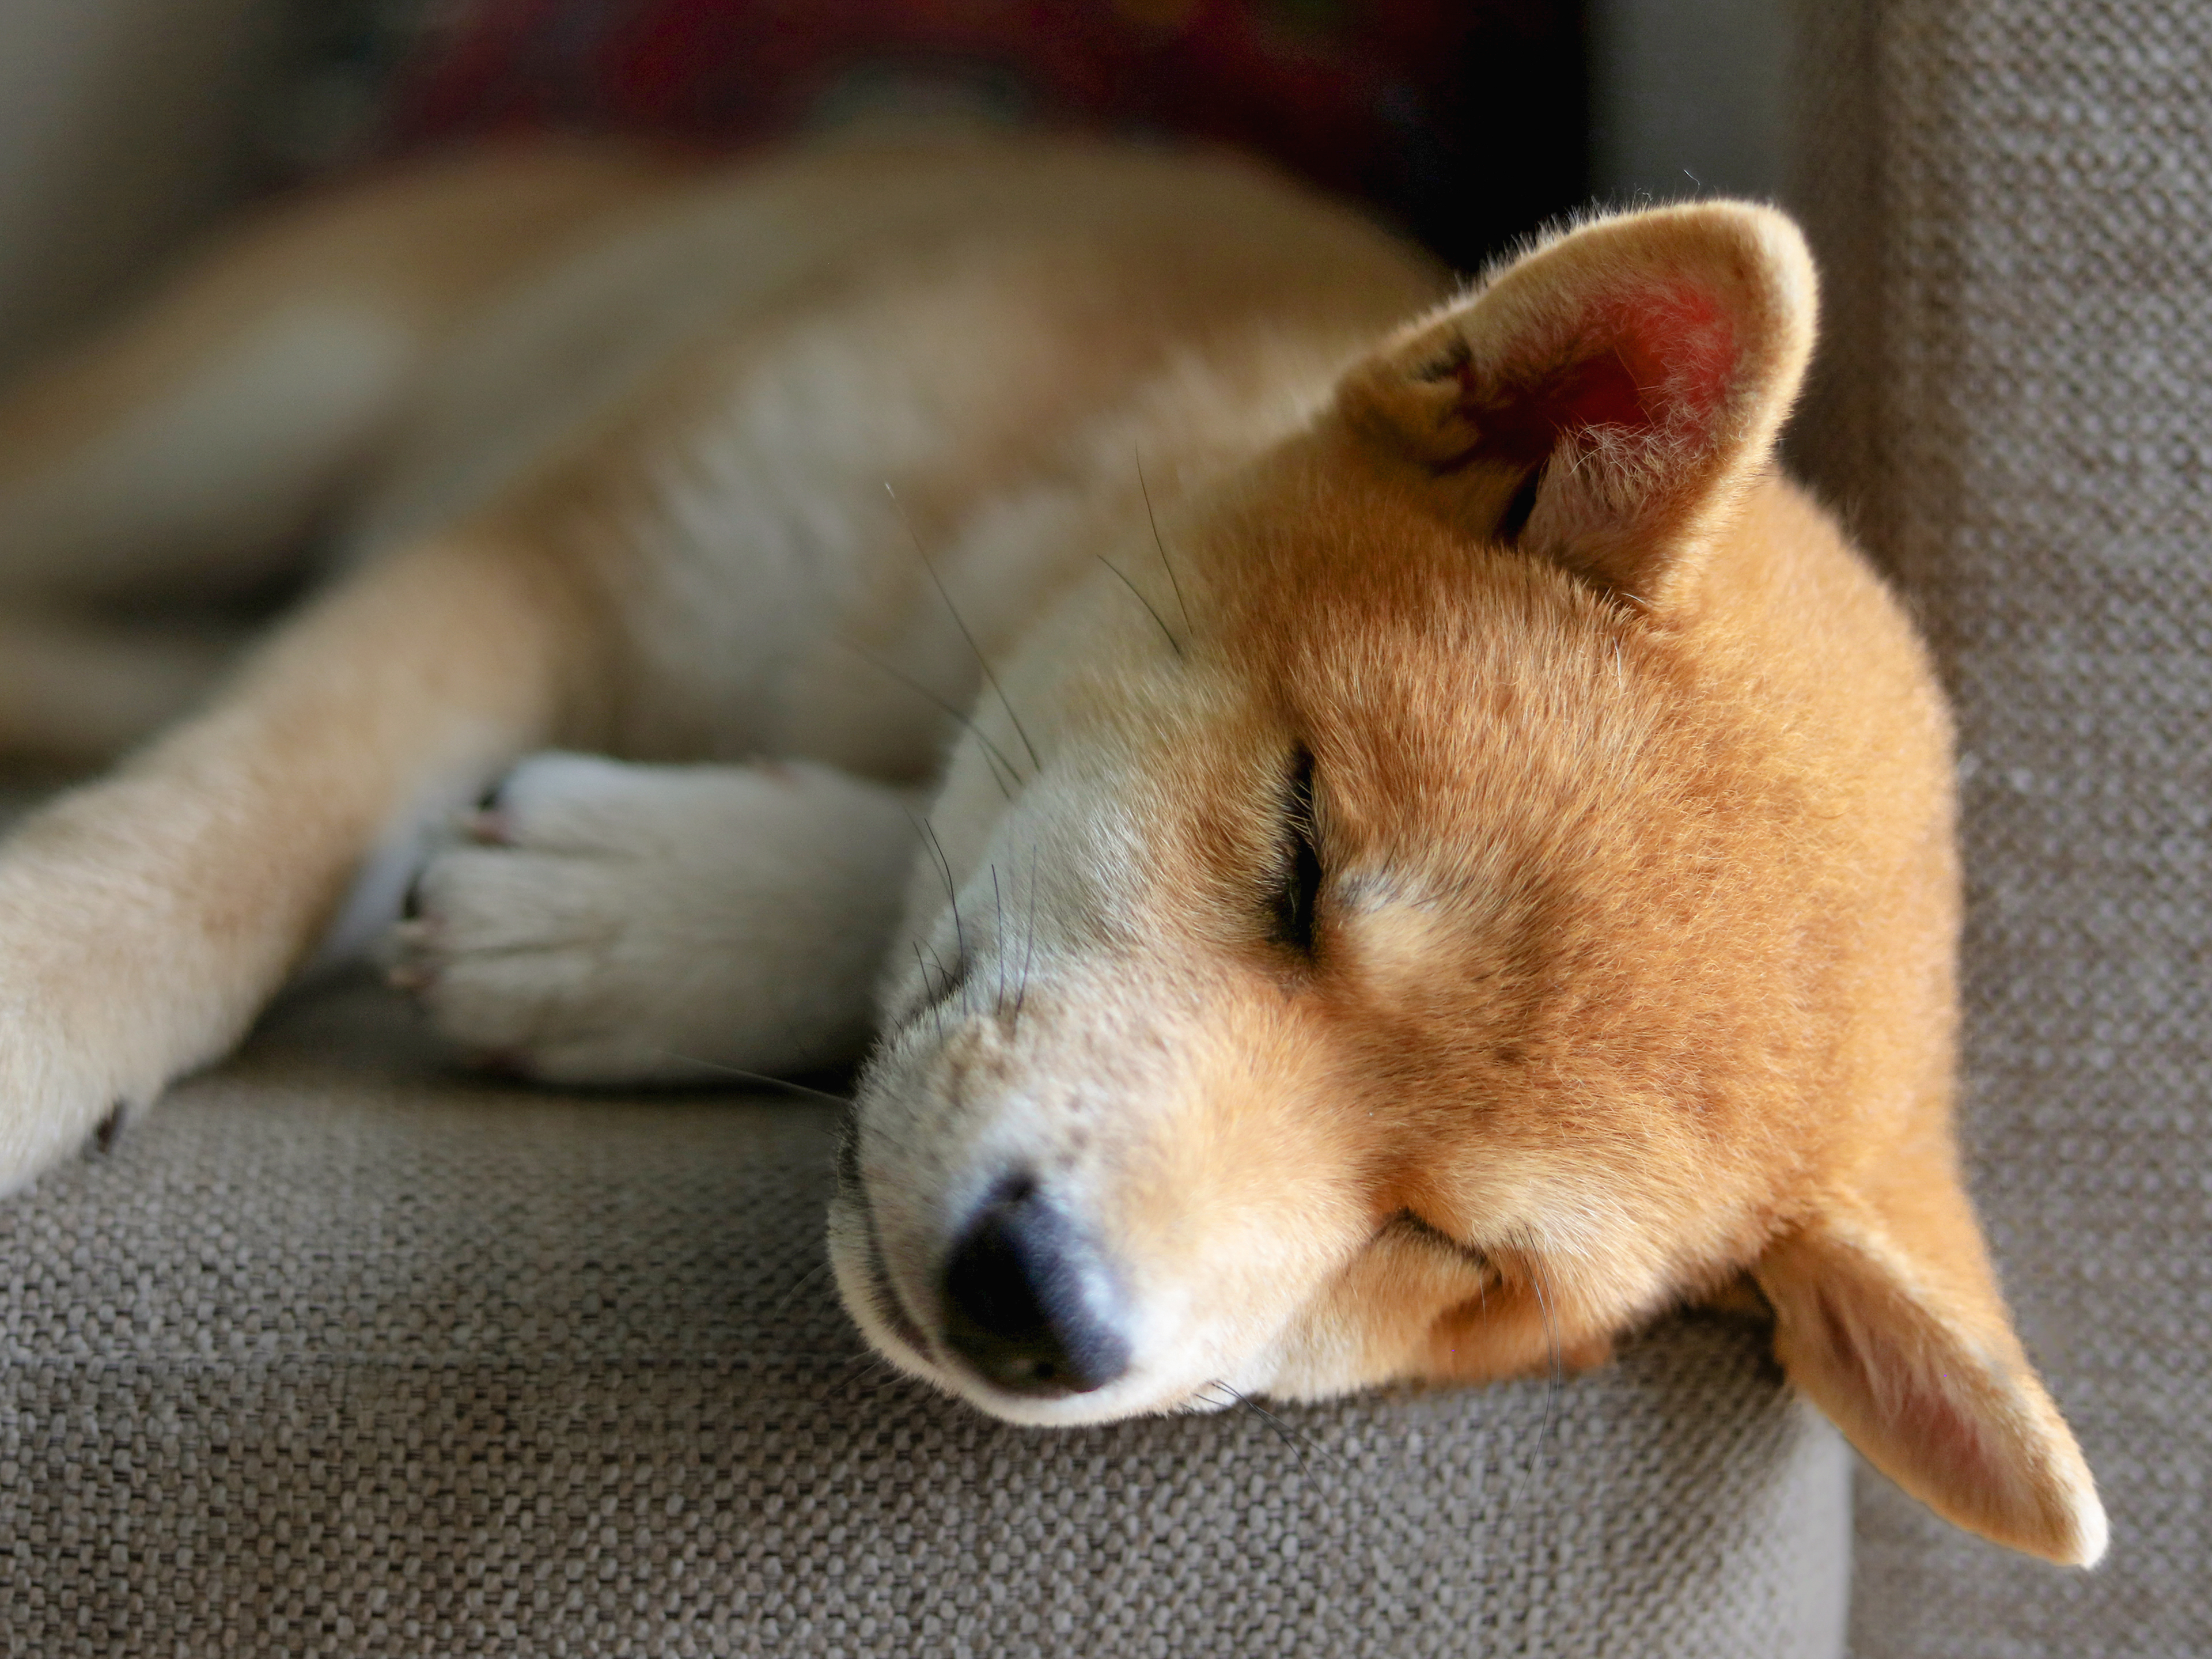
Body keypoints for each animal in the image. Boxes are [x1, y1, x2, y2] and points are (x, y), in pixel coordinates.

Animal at [0, 137, 2105, 1566]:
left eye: (1458, 1261)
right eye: (1303, 852)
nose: (1044, 1307)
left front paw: (636, 912)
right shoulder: (569, 550)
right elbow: (240, 827)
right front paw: (44, 995)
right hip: (245, 416)